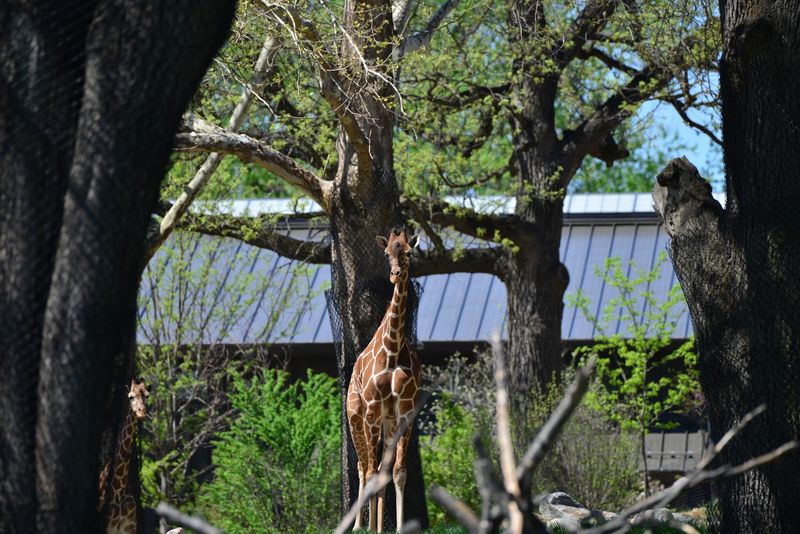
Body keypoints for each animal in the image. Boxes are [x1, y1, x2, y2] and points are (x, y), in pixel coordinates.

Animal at [98, 377, 149, 534]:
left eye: (147, 395)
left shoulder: (129, 528)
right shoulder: (105, 528)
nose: (141, 414)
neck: (119, 488)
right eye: (131, 396)